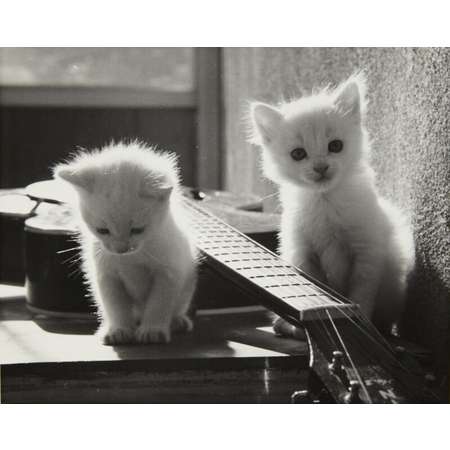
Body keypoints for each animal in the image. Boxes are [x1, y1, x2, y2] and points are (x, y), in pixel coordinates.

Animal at [54, 142, 197, 346]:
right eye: (102, 230)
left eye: (138, 230)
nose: (121, 249)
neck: (132, 258)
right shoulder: (106, 275)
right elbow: (115, 305)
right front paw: (119, 329)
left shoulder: (169, 271)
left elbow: (159, 303)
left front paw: (152, 330)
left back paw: (177, 321)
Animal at [250, 74, 414, 334]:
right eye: (298, 154)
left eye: (335, 146)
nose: (321, 167)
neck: (325, 201)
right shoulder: (302, 254)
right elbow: (314, 290)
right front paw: (303, 327)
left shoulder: (367, 254)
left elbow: (361, 296)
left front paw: (362, 324)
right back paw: (283, 325)